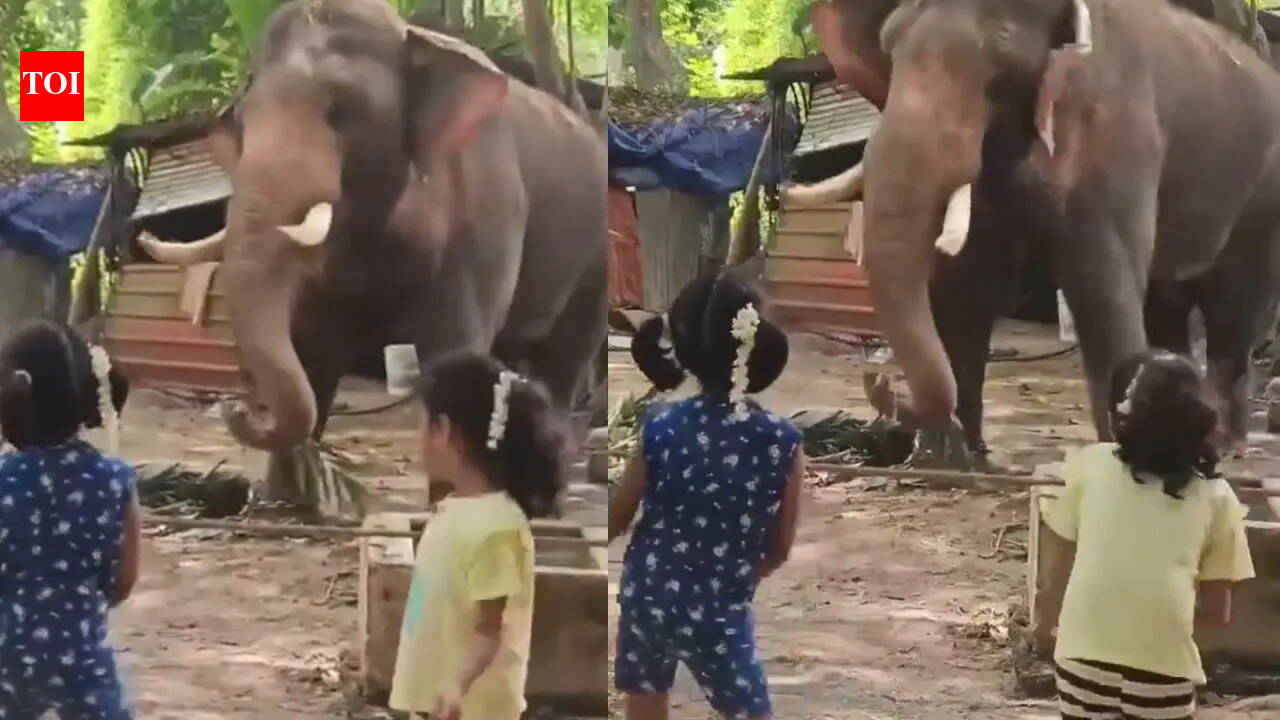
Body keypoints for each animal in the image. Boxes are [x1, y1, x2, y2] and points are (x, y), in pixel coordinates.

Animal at [138, 0, 607, 453]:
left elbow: (455, 349)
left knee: (565, 354)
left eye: (342, 112)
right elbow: (313, 348)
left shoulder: (486, 205)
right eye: (243, 120)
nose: (236, 408)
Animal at [784, 0, 1280, 457]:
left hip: (1262, 200)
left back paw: (1226, 442)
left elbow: (1101, 286)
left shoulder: (1116, 128)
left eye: (997, 77)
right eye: (889, 53)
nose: (881, 383)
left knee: (1232, 313)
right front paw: (962, 459)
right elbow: (969, 287)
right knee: (1168, 308)